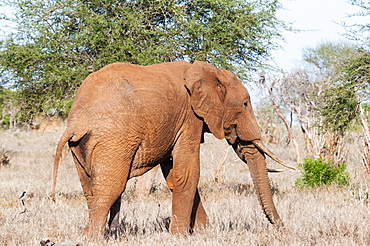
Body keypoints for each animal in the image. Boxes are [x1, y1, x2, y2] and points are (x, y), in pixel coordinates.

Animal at [51, 60, 292, 238]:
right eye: (244, 104)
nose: (282, 229)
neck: (207, 71)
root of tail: (77, 121)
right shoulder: (190, 119)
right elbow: (188, 172)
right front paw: (180, 236)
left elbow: (174, 173)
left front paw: (204, 232)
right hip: (113, 139)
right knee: (110, 188)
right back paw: (91, 238)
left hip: (82, 145)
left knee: (90, 189)